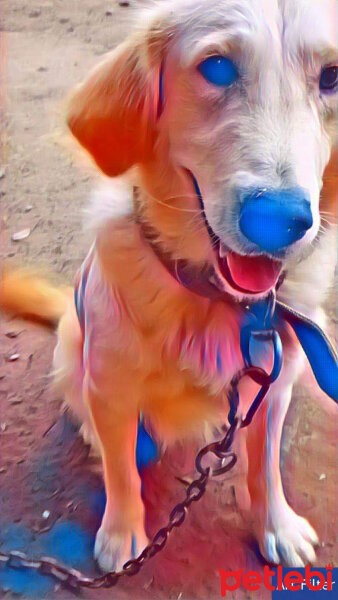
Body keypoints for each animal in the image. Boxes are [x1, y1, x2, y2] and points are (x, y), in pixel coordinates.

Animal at [1, 0, 336, 572]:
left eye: (332, 78)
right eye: (217, 67)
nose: (278, 221)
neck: (218, 300)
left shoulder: (276, 384)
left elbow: (265, 467)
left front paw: (277, 527)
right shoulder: (109, 386)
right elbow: (121, 471)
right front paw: (121, 536)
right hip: (73, 348)